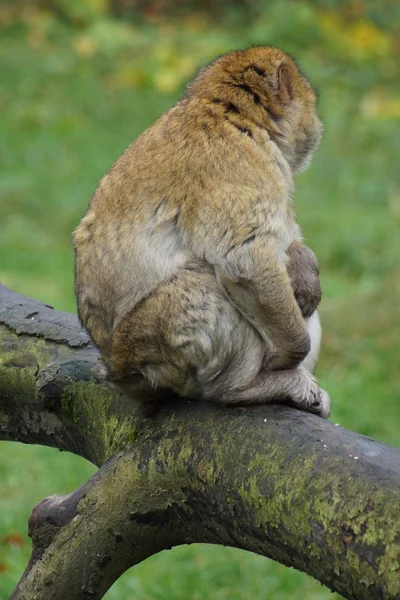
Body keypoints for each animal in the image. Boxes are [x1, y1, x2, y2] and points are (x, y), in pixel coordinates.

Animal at [75, 45, 332, 418]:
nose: (317, 126)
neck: (235, 117)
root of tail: (122, 375)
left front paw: (305, 266)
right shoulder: (241, 164)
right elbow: (246, 261)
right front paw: (289, 355)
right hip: (152, 347)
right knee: (201, 284)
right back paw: (245, 388)